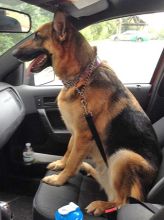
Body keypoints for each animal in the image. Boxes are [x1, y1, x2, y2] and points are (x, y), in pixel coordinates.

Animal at [13, 9, 161, 215]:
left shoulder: (83, 135)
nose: (13, 53)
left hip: (123, 156)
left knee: (121, 201)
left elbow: (72, 160)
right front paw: (61, 164)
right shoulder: (76, 132)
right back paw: (88, 169)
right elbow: (69, 151)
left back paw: (101, 204)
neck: (82, 76)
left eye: (37, 36)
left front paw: (59, 179)